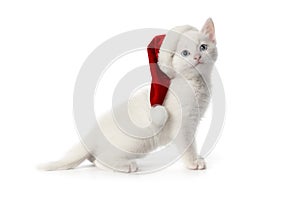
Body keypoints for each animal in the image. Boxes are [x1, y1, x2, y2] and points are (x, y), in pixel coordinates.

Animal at [39, 18, 218, 173]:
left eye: (203, 47)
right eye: (185, 53)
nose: (197, 57)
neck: (197, 83)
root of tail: (90, 136)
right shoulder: (183, 125)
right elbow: (188, 146)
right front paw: (193, 162)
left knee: (94, 159)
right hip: (135, 142)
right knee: (101, 160)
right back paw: (127, 166)